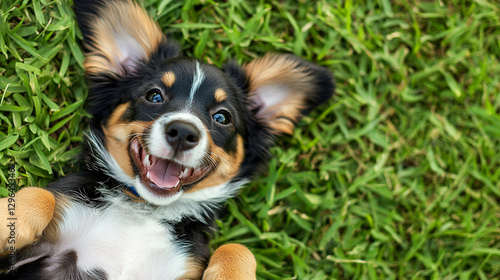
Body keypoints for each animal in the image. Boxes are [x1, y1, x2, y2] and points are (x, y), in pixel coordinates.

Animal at [0, 1, 336, 278]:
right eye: (155, 96)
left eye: (222, 117)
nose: (183, 133)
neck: (144, 210)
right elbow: (41, 196)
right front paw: (8, 219)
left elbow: (238, 248)